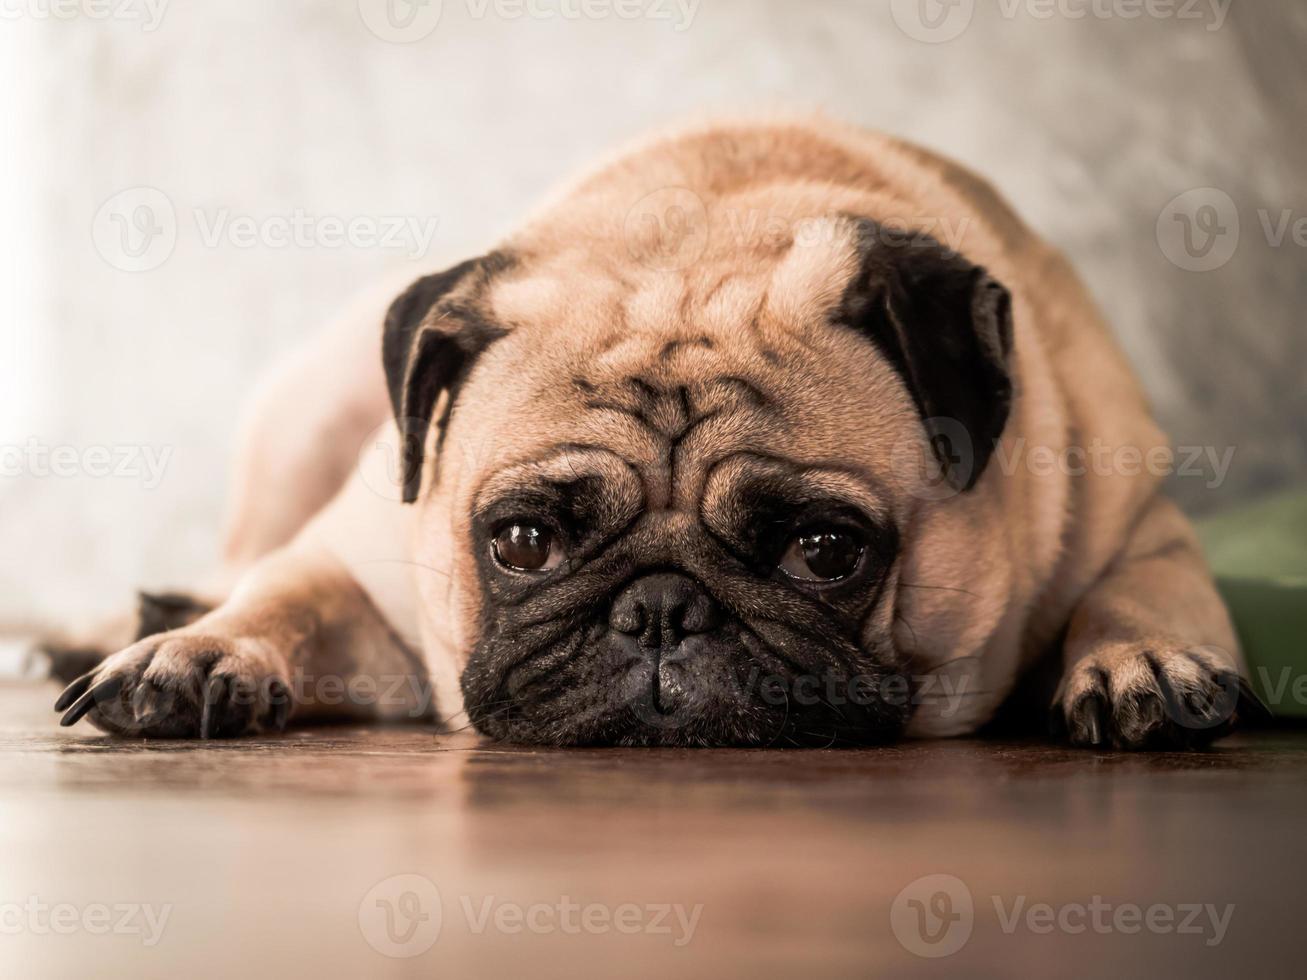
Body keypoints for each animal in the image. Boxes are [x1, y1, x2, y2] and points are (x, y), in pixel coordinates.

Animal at [48, 114, 1254, 747]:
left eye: (825, 550)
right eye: (520, 542)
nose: (662, 609)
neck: (699, 229)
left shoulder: (1138, 519)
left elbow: (1141, 587)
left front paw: (1141, 659)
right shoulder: (351, 552)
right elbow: (285, 596)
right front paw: (200, 651)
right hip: (301, 417)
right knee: (236, 557)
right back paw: (141, 617)